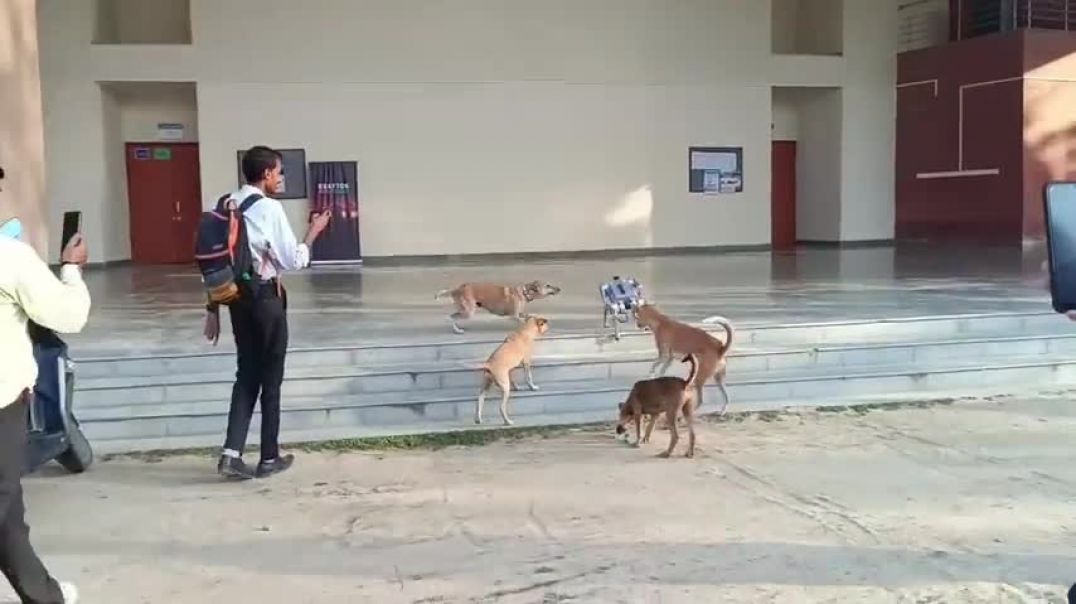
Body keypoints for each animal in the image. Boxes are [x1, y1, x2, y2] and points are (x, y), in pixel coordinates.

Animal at [434, 279, 563, 331]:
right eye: (547, 285)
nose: (559, 289)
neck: (524, 292)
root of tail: (456, 289)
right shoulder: (514, 316)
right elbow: (522, 321)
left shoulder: (520, 313)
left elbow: (530, 316)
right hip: (468, 311)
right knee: (450, 317)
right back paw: (457, 330)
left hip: (465, 310)